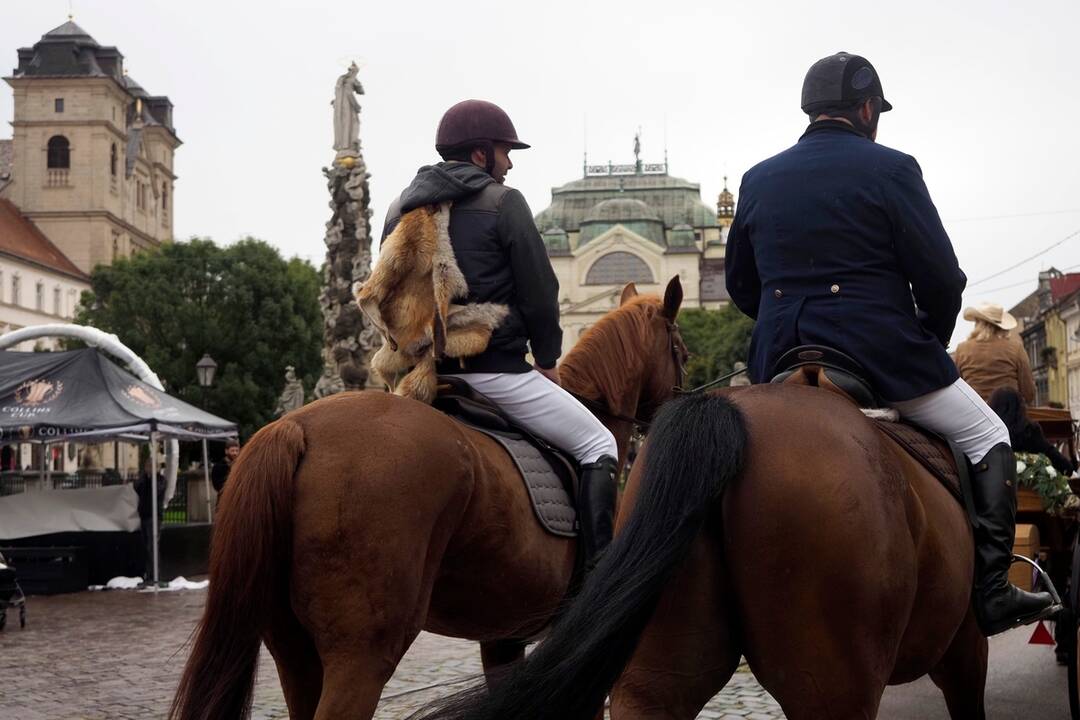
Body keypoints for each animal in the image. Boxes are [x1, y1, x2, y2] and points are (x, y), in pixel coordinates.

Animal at [168, 276, 691, 720]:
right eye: (682, 350)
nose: (677, 408)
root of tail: (295, 426)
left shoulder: (503, 637)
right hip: (363, 652)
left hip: (291, 648)